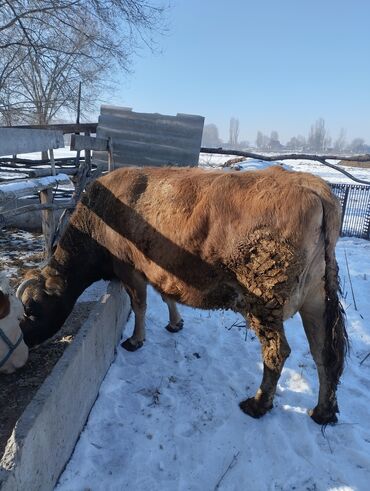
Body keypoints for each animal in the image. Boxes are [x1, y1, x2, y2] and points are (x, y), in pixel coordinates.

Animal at [16, 167, 346, 424]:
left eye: (32, 310)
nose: (25, 341)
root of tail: (313, 186)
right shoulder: (161, 268)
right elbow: (166, 297)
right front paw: (175, 323)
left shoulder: (129, 267)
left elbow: (140, 305)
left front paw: (136, 340)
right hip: (317, 296)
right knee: (324, 352)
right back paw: (323, 411)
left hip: (264, 300)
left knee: (277, 352)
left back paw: (258, 404)